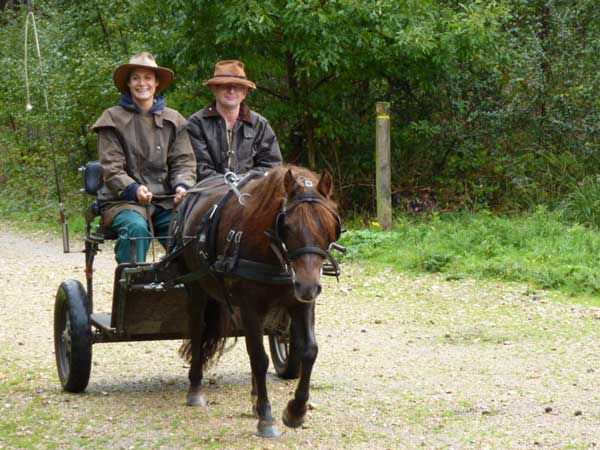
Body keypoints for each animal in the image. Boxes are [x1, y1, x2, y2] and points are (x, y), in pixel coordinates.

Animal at [176, 164, 340, 436]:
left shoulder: (301, 303)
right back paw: (195, 388)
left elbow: (309, 350)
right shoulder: (250, 306)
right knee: (198, 330)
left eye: (329, 225)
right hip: (195, 286)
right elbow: (260, 358)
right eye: (288, 226)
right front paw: (266, 417)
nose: (307, 285)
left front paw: (295, 411)